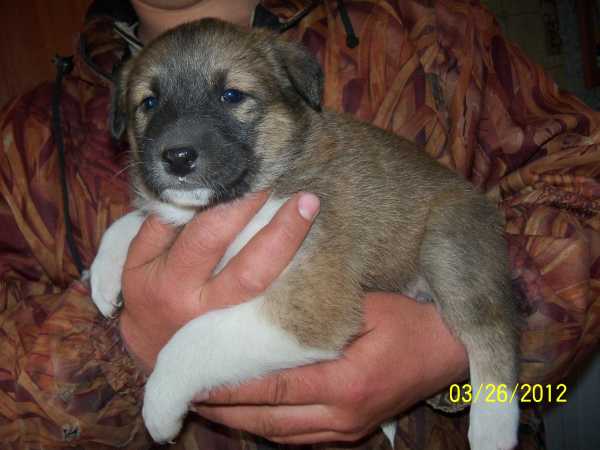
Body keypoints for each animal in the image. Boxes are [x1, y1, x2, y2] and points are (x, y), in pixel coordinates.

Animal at [90, 18, 520, 450]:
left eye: (231, 95)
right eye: (149, 103)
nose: (177, 157)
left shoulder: (311, 305)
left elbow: (195, 337)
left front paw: (160, 404)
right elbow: (132, 221)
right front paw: (104, 276)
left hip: (449, 246)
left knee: (492, 333)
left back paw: (492, 428)